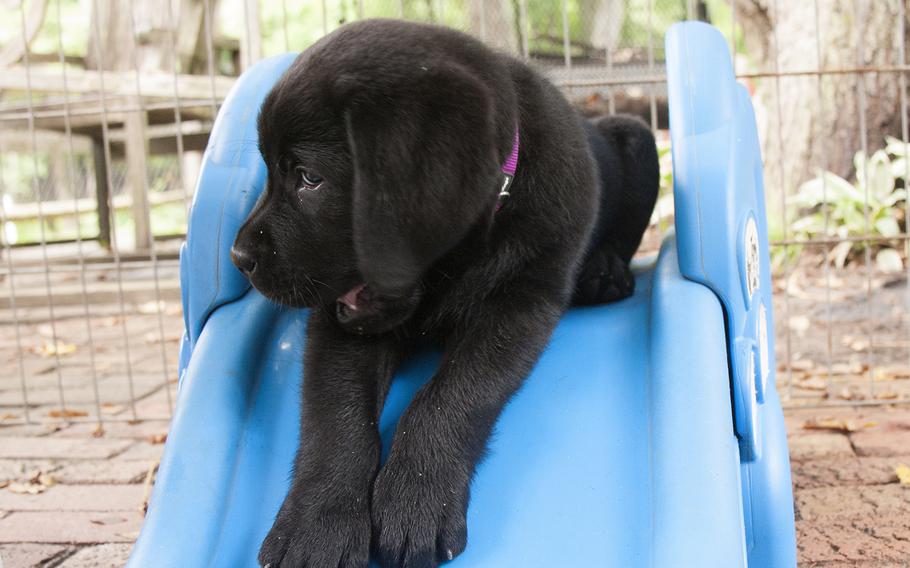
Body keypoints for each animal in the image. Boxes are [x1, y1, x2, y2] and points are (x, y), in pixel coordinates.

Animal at [232, 17, 660, 568]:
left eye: (309, 178)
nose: (239, 257)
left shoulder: (521, 304)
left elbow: (453, 394)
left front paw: (416, 497)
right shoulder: (338, 319)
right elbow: (335, 417)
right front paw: (317, 524)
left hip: (638, 138)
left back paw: (604, 273)